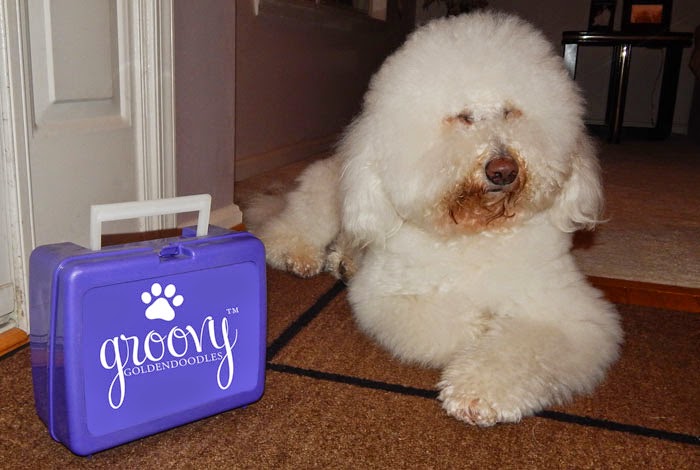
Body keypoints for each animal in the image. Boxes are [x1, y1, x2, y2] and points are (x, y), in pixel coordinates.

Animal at [245, 11, 623, 426]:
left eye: (510, 111)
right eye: (463, 117)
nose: (503, 170)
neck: (476, 232)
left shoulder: (572, 313)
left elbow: (523, 346)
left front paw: (480, 392)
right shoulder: (391, 297)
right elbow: (462, 326)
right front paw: (480, 340)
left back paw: (344, 262)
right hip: (326, 205)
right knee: (285, 231)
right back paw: (300, 256)